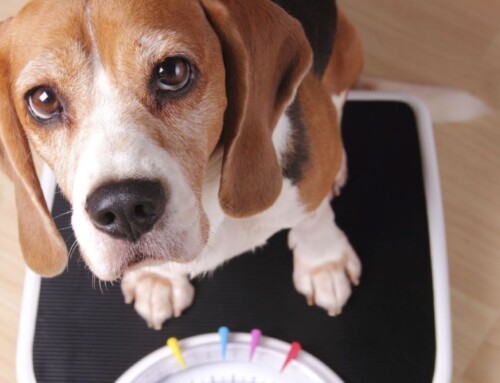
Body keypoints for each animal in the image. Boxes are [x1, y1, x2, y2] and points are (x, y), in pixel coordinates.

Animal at [0, 0, 362, 330]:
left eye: (172, 71)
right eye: (44, 100)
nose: (123, 207)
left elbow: (314, 217)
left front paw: (324, 264)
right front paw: (158, 279)